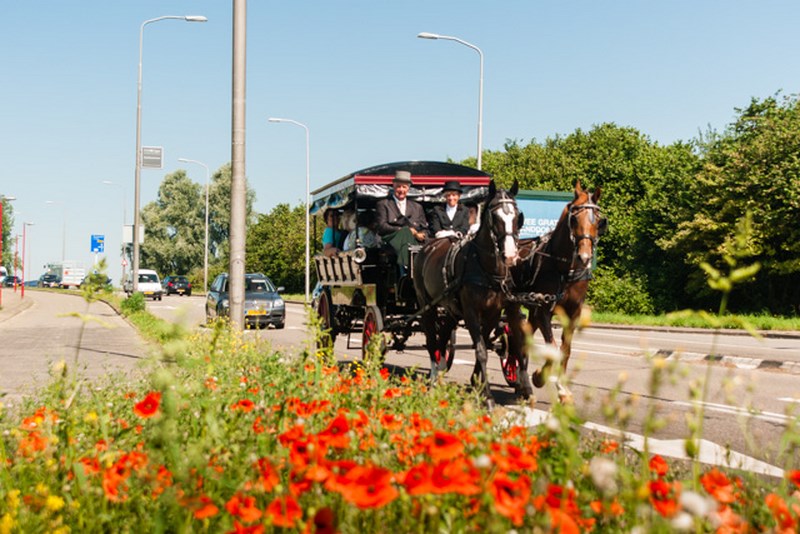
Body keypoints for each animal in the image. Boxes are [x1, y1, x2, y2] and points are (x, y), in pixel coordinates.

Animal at [412, 181, 532, 406]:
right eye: (495, 217)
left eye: (516, 216)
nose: (511, 255)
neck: (488, 270)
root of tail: (426, 248)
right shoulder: (471, 312)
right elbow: (481, 351)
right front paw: (487, 395)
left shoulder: (495, 313)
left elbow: (493, 345)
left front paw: (478, 383)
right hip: (427, 305)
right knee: (432, 340)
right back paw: (433, 376)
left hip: (451, 309)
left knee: (442, 338)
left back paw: (441, 371)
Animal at [506, 180, 608, 402]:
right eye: (574, 218)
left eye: (598, 220)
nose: (585, 257)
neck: (563, 267)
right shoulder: (544, 310)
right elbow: (553, 348)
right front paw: (540, 377)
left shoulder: (572, 313)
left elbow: (565, 350)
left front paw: (562, 389)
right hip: (513, 304)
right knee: (517, 339)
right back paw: (522, 383)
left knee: (525, 337)